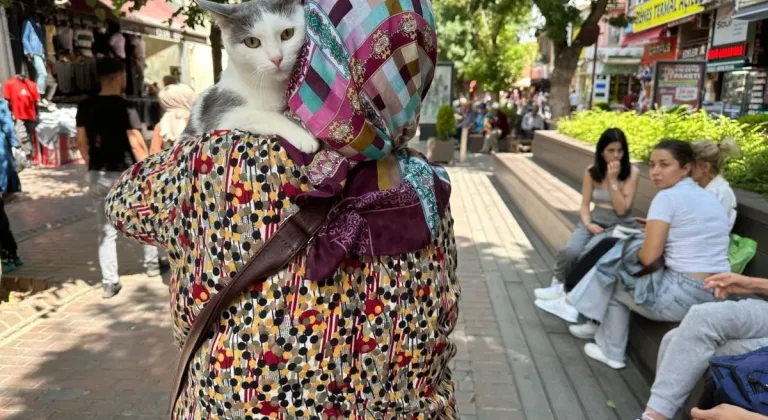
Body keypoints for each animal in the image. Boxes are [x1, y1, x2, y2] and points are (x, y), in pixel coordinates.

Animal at [183, 0, 318, 153]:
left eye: (287, 33)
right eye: (252, 42)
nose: (277, 58)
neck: (269, 86)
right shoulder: (222, 116)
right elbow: (260, 115)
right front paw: (303, 136)